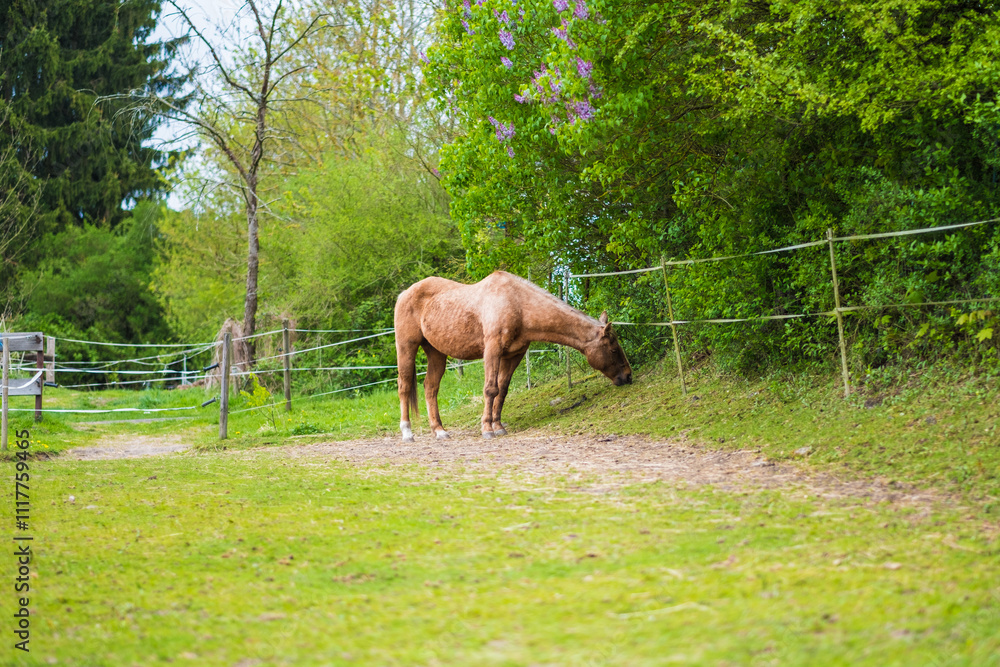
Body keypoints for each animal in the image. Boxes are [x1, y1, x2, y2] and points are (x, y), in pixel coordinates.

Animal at [393, 270, 632, 442]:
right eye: (613, 349)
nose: (628, 376)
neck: (517, 304)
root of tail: (404, 293)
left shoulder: (514, 355)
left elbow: (502, 390)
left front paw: (498, 427)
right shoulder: (492, 350)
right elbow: (490, 389)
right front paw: (487, 429)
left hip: (436, 352)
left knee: (430, 388)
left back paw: (439, 431)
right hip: (407, 347)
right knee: (404, 386)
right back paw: (407, 433)